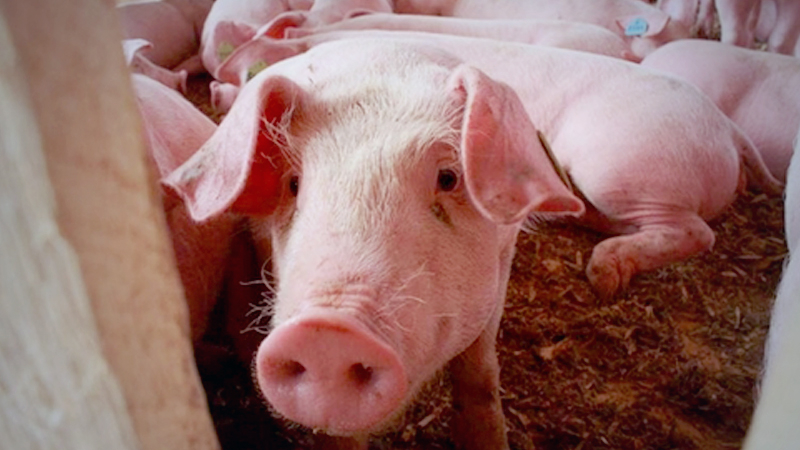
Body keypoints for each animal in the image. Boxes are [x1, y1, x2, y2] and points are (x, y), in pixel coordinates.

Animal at [165, 35, 779, 447]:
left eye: (447, 177)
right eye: (295, 184)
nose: (327, 332)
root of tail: (727, 129)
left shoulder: (503, 261)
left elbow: (480, 371)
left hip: (620, 169)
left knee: (694, 229)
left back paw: (603, 273)